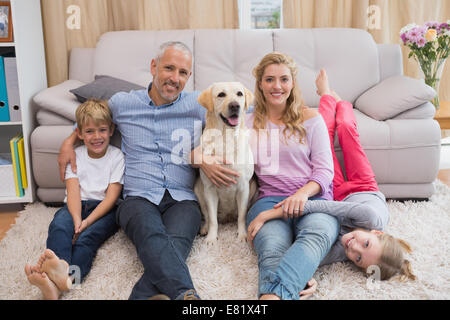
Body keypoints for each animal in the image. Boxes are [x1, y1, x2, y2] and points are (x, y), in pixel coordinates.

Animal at [193, 81, 256, 244]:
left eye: (239, 94)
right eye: (221, 94)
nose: (235, 106)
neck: (225, 138)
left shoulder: (244, 187)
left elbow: (241, 216)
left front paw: (242, 235)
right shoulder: (209, 189)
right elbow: (212, 219)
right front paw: (211, 238)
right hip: (198, 189)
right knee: (207, 216)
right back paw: (204, 229)